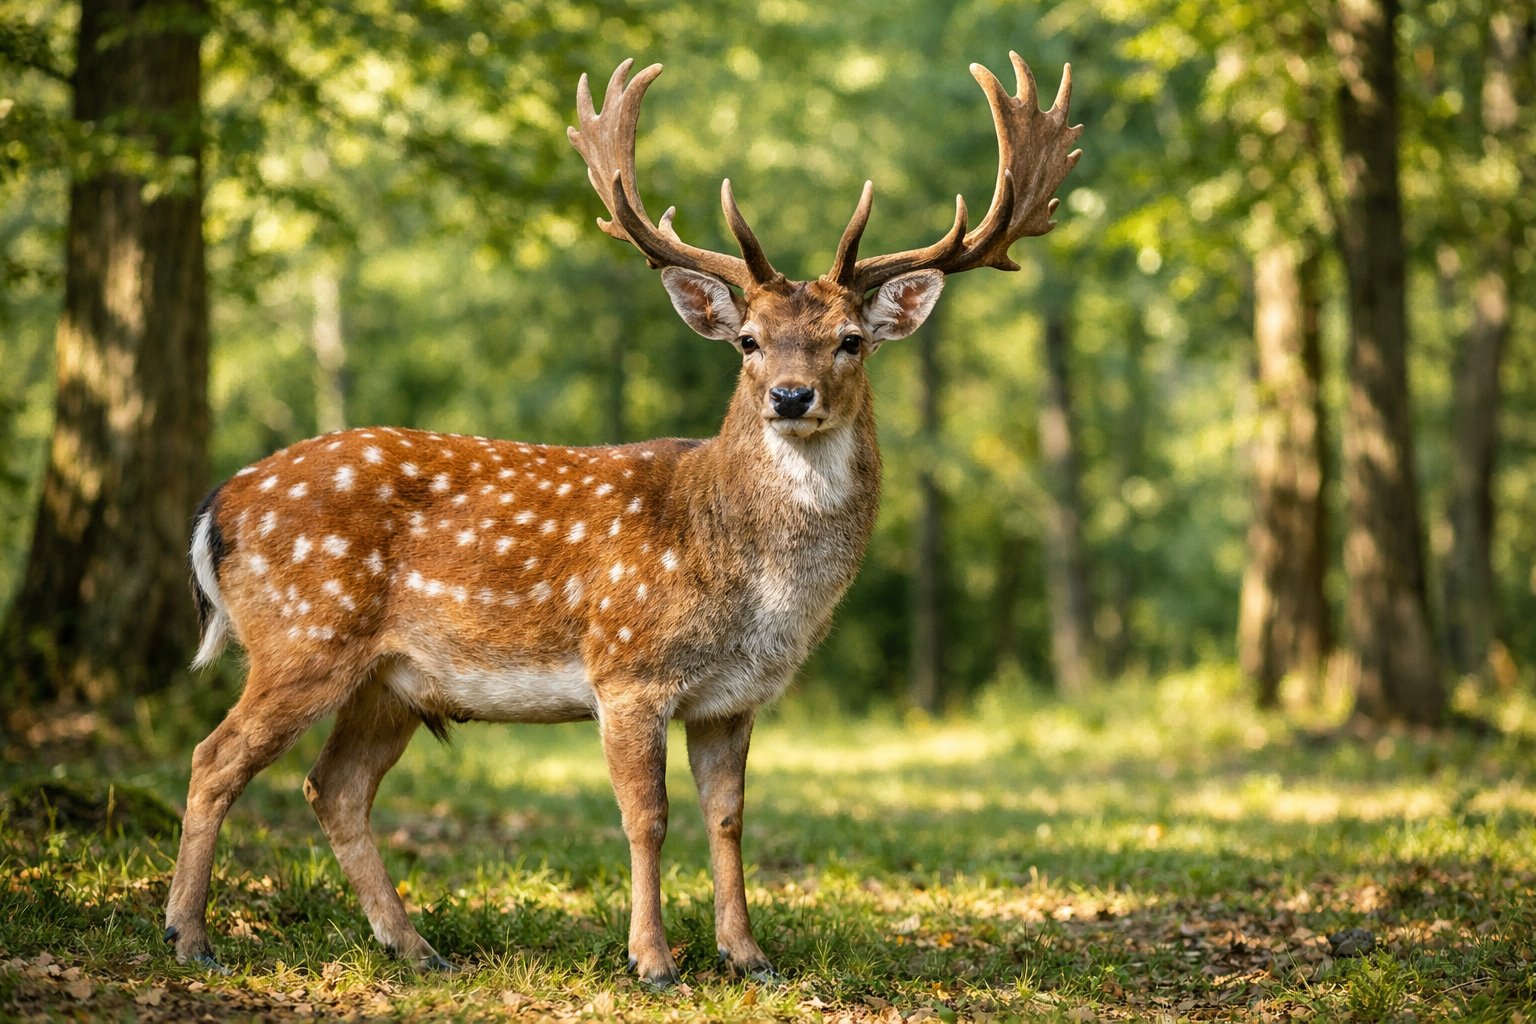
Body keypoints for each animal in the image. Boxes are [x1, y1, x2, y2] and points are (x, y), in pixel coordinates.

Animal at [164, 53, 1081, 985]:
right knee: (215, 758)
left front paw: (748, 955)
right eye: (749, 341)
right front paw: (653, 959)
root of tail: (219, 503)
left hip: (390, 681)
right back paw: (190, 936)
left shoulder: (732, 698)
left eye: (851, 339)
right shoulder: (628, 668)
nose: (792, 397)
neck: (746, 582)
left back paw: (414, 947)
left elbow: (728, 819)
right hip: (304, 633)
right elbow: (648, 818)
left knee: (335, 786)